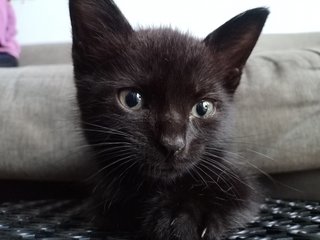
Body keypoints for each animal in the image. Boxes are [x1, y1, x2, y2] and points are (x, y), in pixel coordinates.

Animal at [69, 0, 268, 239]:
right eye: (131, 99)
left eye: (203, 108)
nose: (173, 144)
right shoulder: (100, 200)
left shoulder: (241, 181)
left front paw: (185, 214)